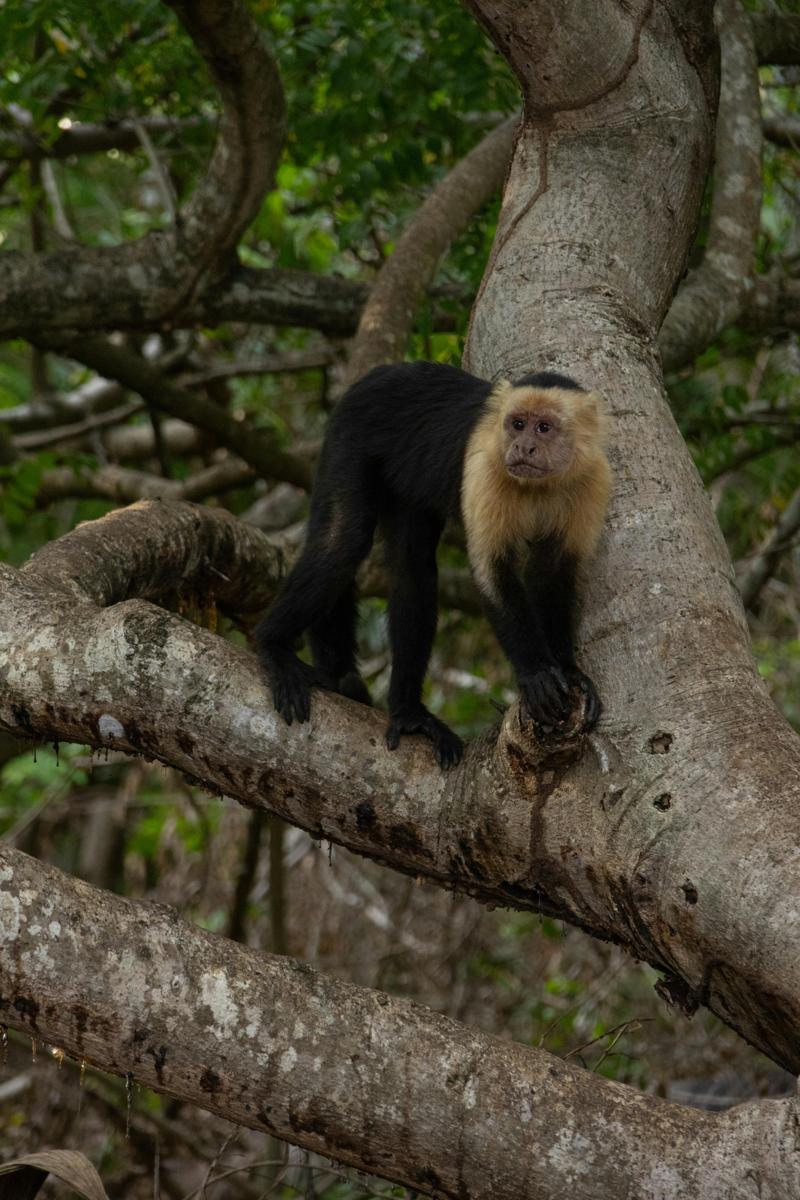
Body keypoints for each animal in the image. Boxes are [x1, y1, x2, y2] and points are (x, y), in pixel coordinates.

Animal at [256, 361, 612, 769]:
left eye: (544, 428)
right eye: (517, 423)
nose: (523, 446)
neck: (540, 484)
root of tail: (383, 372)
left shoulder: (592, 477)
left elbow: (550, 574)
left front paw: (568, 671)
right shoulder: (484, 468)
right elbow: (491, 574)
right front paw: (536, 674)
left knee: (413, 570)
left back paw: (408, 714)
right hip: (352, 433)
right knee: (342, 541)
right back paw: (273, 646)